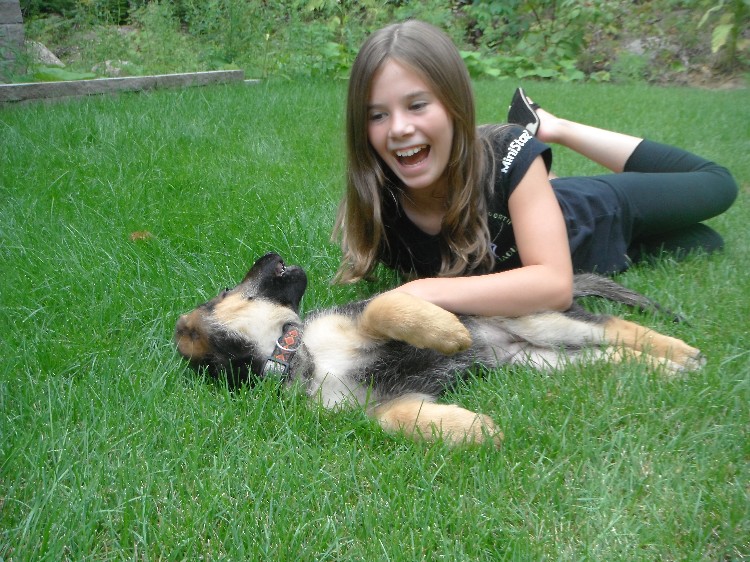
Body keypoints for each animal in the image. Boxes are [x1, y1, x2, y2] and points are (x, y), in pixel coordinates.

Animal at [176, 252, 704, 444]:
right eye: (227, 289)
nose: (272, 254)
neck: (298, 358)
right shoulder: (378, 405)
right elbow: (398, 419)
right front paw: (476, 429)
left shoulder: (366, 315)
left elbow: (386, 305)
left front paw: (448, 334)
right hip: (540, 360)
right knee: (613, 357)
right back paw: (667, 370)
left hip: (539, 321)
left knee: (614, 325)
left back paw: (681, 352)